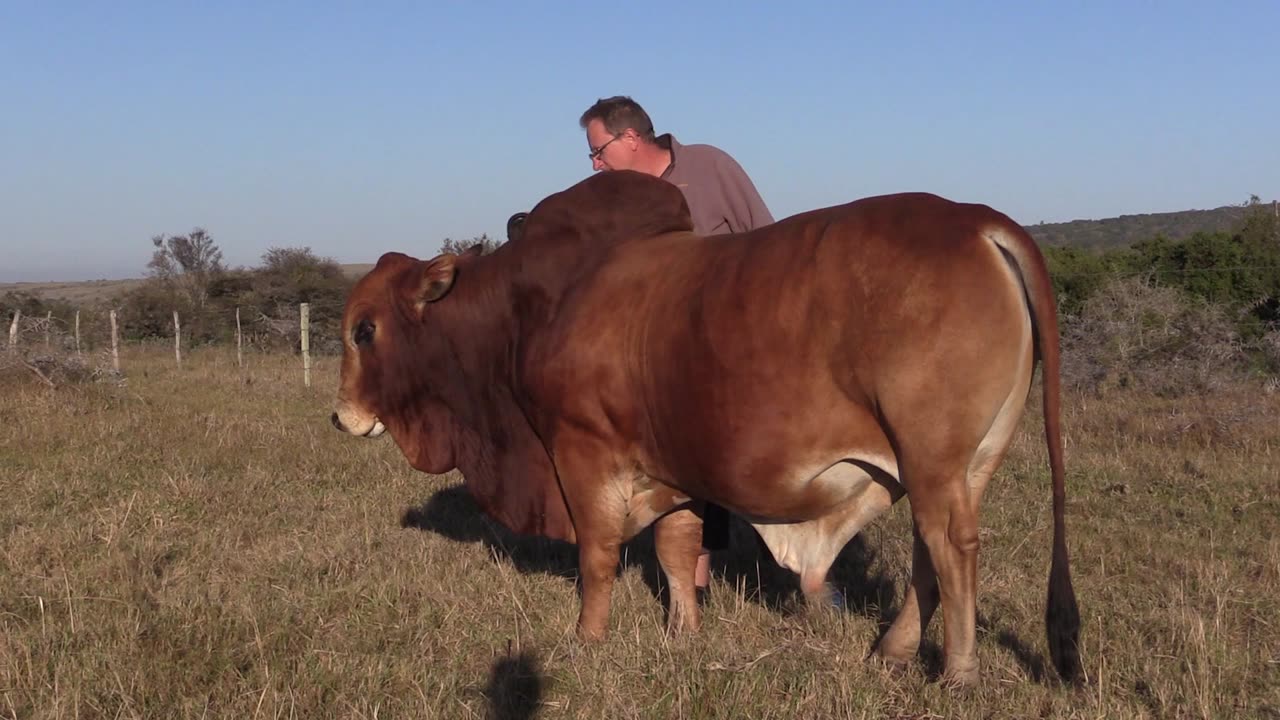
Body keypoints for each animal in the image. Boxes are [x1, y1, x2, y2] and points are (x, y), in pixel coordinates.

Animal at [330, 167, 1080, 681]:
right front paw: (682, 634)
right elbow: (675, 549)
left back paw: (957, 673)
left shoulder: (582, 450)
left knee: (951, 548)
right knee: (933, 550)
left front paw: (587, 641)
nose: (341, 417)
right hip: (965, 463)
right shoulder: (673, 467)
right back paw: (892, 651)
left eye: (365, 329)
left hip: (932, 459)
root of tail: (978, 220)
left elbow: (597, 554)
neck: (534, 310)